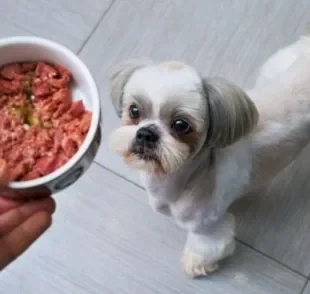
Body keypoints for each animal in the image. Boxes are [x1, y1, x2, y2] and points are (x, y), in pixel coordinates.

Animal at [108, 28, 310, 278]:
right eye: (134, 110)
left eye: (181, 124)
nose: (146, 133)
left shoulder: (209, 227)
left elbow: (206, 247)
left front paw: (196, 265)